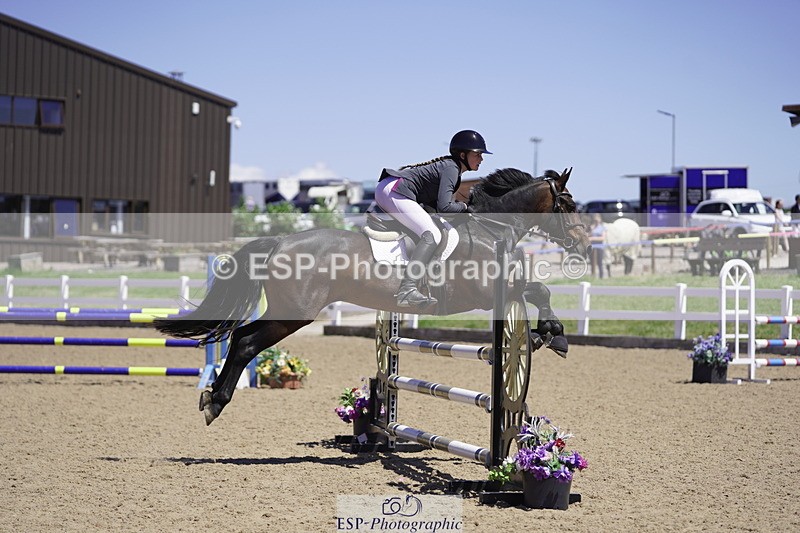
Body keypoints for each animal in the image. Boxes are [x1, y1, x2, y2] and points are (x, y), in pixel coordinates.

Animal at [154, 167, 592, 425]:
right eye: (568, 203)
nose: (584, 244)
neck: (490, 228)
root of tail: (279, 241)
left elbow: (537, 291)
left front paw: (545, 335)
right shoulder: (487, 291)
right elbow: (539, 288)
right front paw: (554, 335)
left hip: (286, 311)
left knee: (240, 338)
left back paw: (212, 397)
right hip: (294, 313)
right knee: (245, 342)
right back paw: (216, 401)